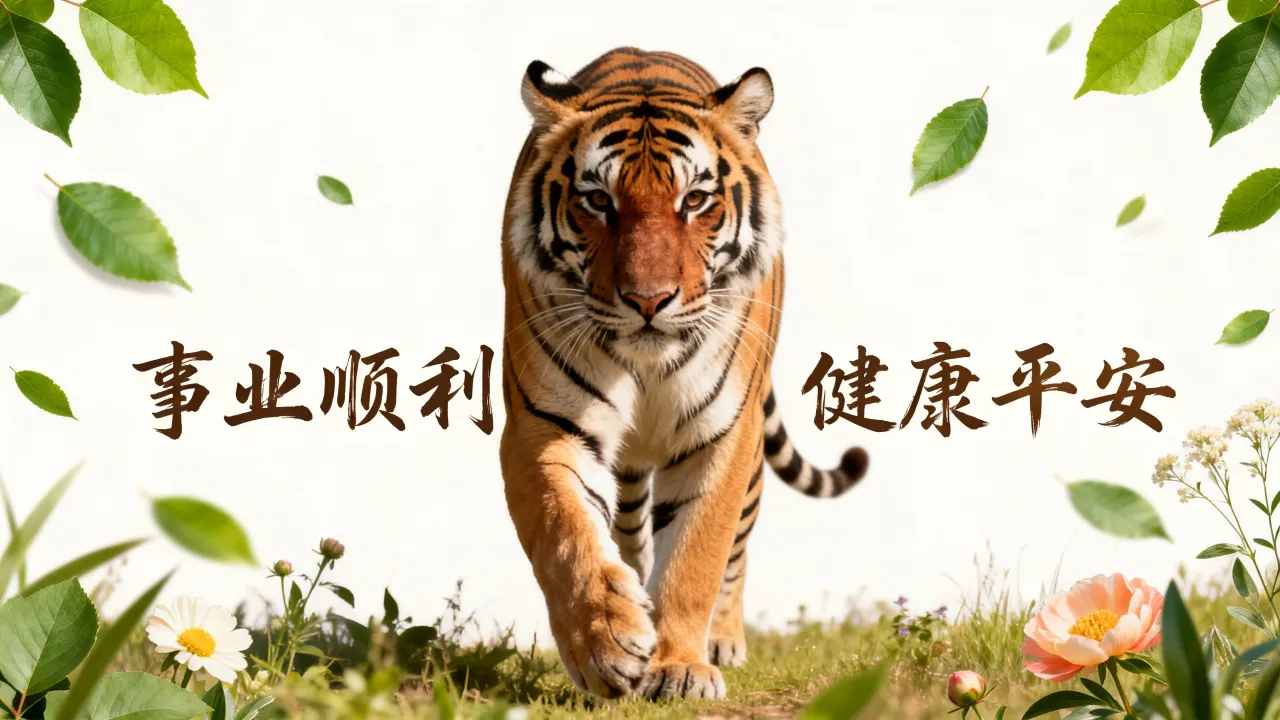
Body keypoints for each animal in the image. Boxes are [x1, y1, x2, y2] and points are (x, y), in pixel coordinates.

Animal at [499, 47, 870, 700]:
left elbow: (697, 553)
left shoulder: (723, 434)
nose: (648, 300)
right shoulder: (542, 425)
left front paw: (679, 667)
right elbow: (564, 531)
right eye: (599, 201)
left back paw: (719, 640)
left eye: (694, 200)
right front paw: (606, 644)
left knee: (737, 544)